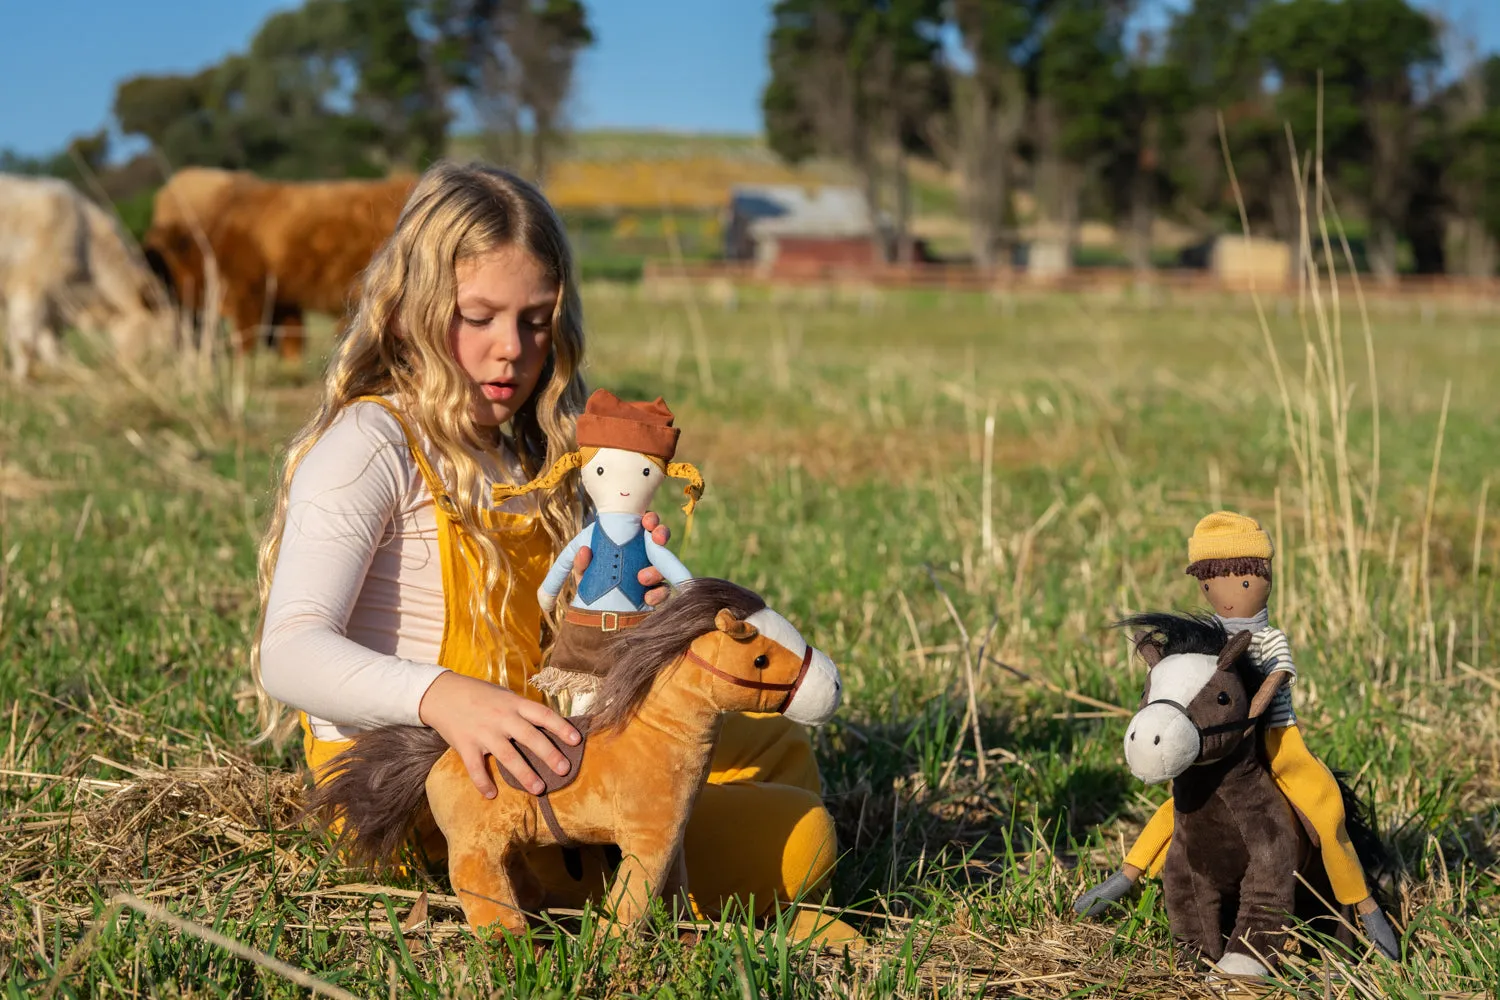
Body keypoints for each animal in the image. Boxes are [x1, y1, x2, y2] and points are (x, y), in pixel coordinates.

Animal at [0, 173, 174, 380]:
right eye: (159, 341)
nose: (156, 374)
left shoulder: (51, 304)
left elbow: (51, 345)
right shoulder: (29, 289)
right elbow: (24, 343)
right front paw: (20, 381)